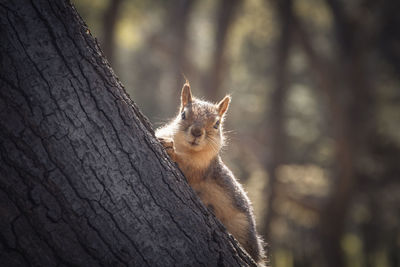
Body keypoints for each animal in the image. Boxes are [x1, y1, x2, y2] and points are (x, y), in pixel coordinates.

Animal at [156, 82, 266, 264]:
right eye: (183, 114)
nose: (197, 132)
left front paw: (170, 150)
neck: (187, 149)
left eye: (216, 124)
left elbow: (187, 168)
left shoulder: (202, 168)